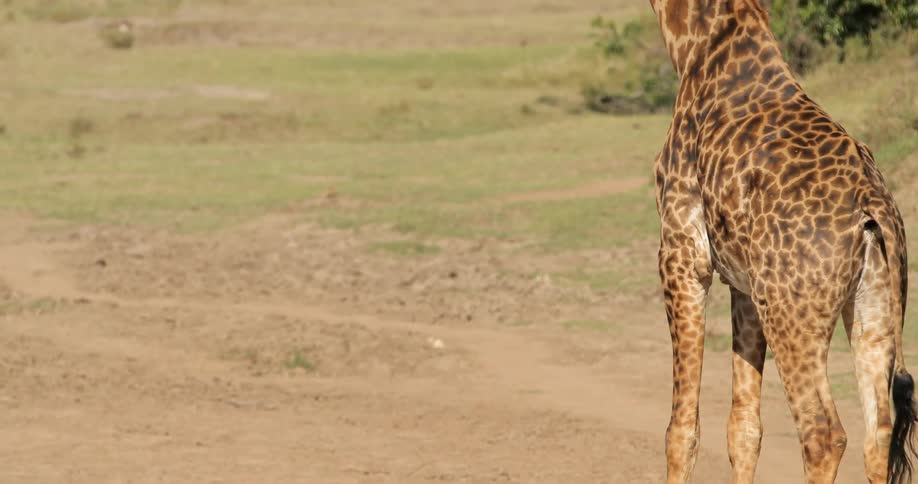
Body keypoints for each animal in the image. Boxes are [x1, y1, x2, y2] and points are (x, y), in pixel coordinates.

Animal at [646, 0, 918, 482]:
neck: (698, 42)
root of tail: (873, 207)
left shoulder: (682, 253)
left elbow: (681, 430)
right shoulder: (743, 286)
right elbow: (743, 428)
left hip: (793, 316)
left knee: (824, 432)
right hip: (874, 306)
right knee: (878, 433)